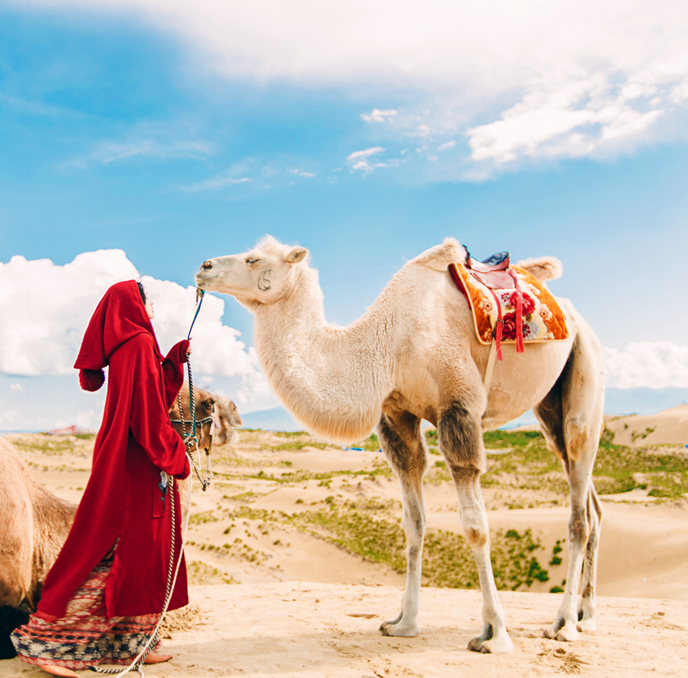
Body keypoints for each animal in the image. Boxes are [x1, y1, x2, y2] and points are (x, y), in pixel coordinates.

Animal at [196, 236, 604, 656]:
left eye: (253, 259)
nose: (204, 267)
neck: (386, 346)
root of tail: (573, 315)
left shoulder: (458, 405)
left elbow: (475, 526)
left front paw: (494, 632)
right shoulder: (397, 415)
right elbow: (413, 524)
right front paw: (403, 622)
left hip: (584, 373)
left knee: (579, 507)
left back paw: (564, 624)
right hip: (549, 408)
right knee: (591, 501)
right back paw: (586, 615)